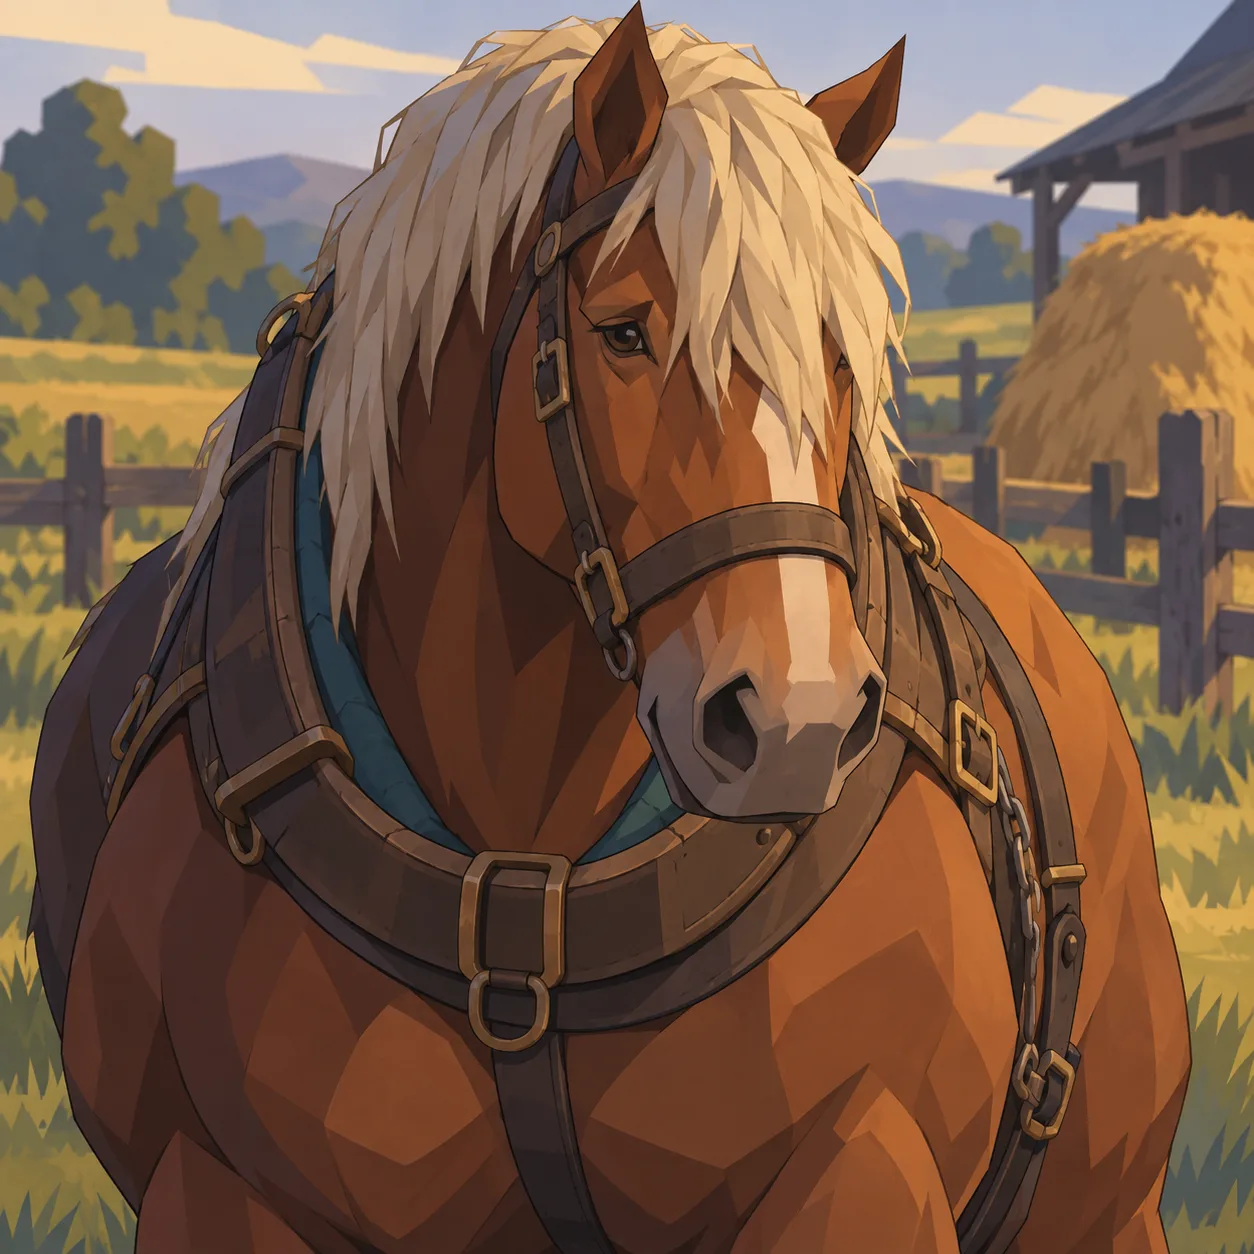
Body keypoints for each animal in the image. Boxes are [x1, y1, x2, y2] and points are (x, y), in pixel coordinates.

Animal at [29, 10, 1189, 1253]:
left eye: (841, 355)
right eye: (624, 333)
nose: (798, 723)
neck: (522, 877)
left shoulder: (859, 1168)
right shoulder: (215, 1184)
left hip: (1111, 1212)